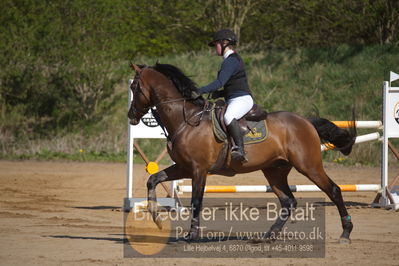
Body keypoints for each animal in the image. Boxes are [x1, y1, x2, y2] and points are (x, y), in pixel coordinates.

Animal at [130, 62, 358, 243]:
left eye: (134, 87)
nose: (131, 115)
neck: (186, 121)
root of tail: (306, 121)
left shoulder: (198, 169)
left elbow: (196, 201)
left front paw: (191, 235)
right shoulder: (184, 168)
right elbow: (153, 179)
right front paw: (156, 218)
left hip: (309, 166)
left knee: (333, 190)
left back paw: (346, 233)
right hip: (274, 171)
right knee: (288, 201)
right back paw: (269, 235)